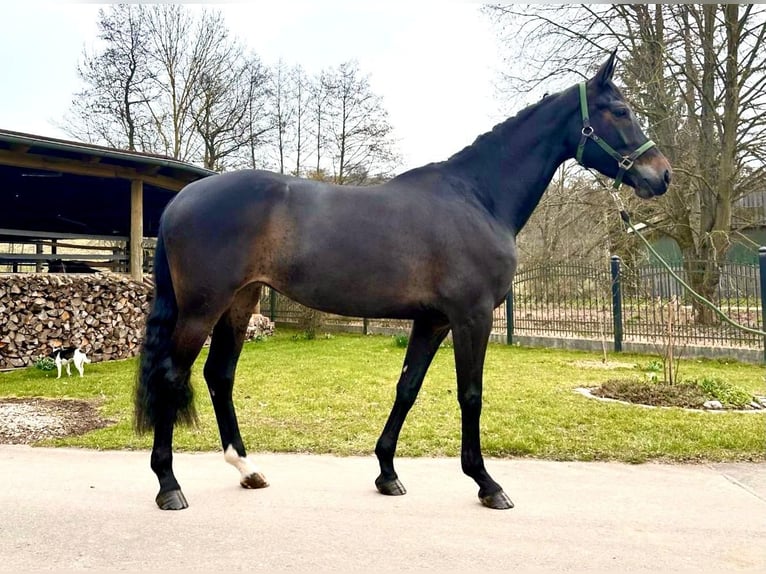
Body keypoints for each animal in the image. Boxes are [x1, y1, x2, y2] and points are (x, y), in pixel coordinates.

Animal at [136, 55, 672, 512]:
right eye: (620, 111)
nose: (662, 176)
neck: (478, 197)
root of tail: (182, 197)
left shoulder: (433, 321)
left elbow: (407, 388)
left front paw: (388, 474)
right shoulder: (472, 316)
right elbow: (470, 394)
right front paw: (487, 484)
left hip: (240, 302)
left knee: (219, 375)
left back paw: (247, 469)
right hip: (202, 308)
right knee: (173, 375)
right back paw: (168, 486)